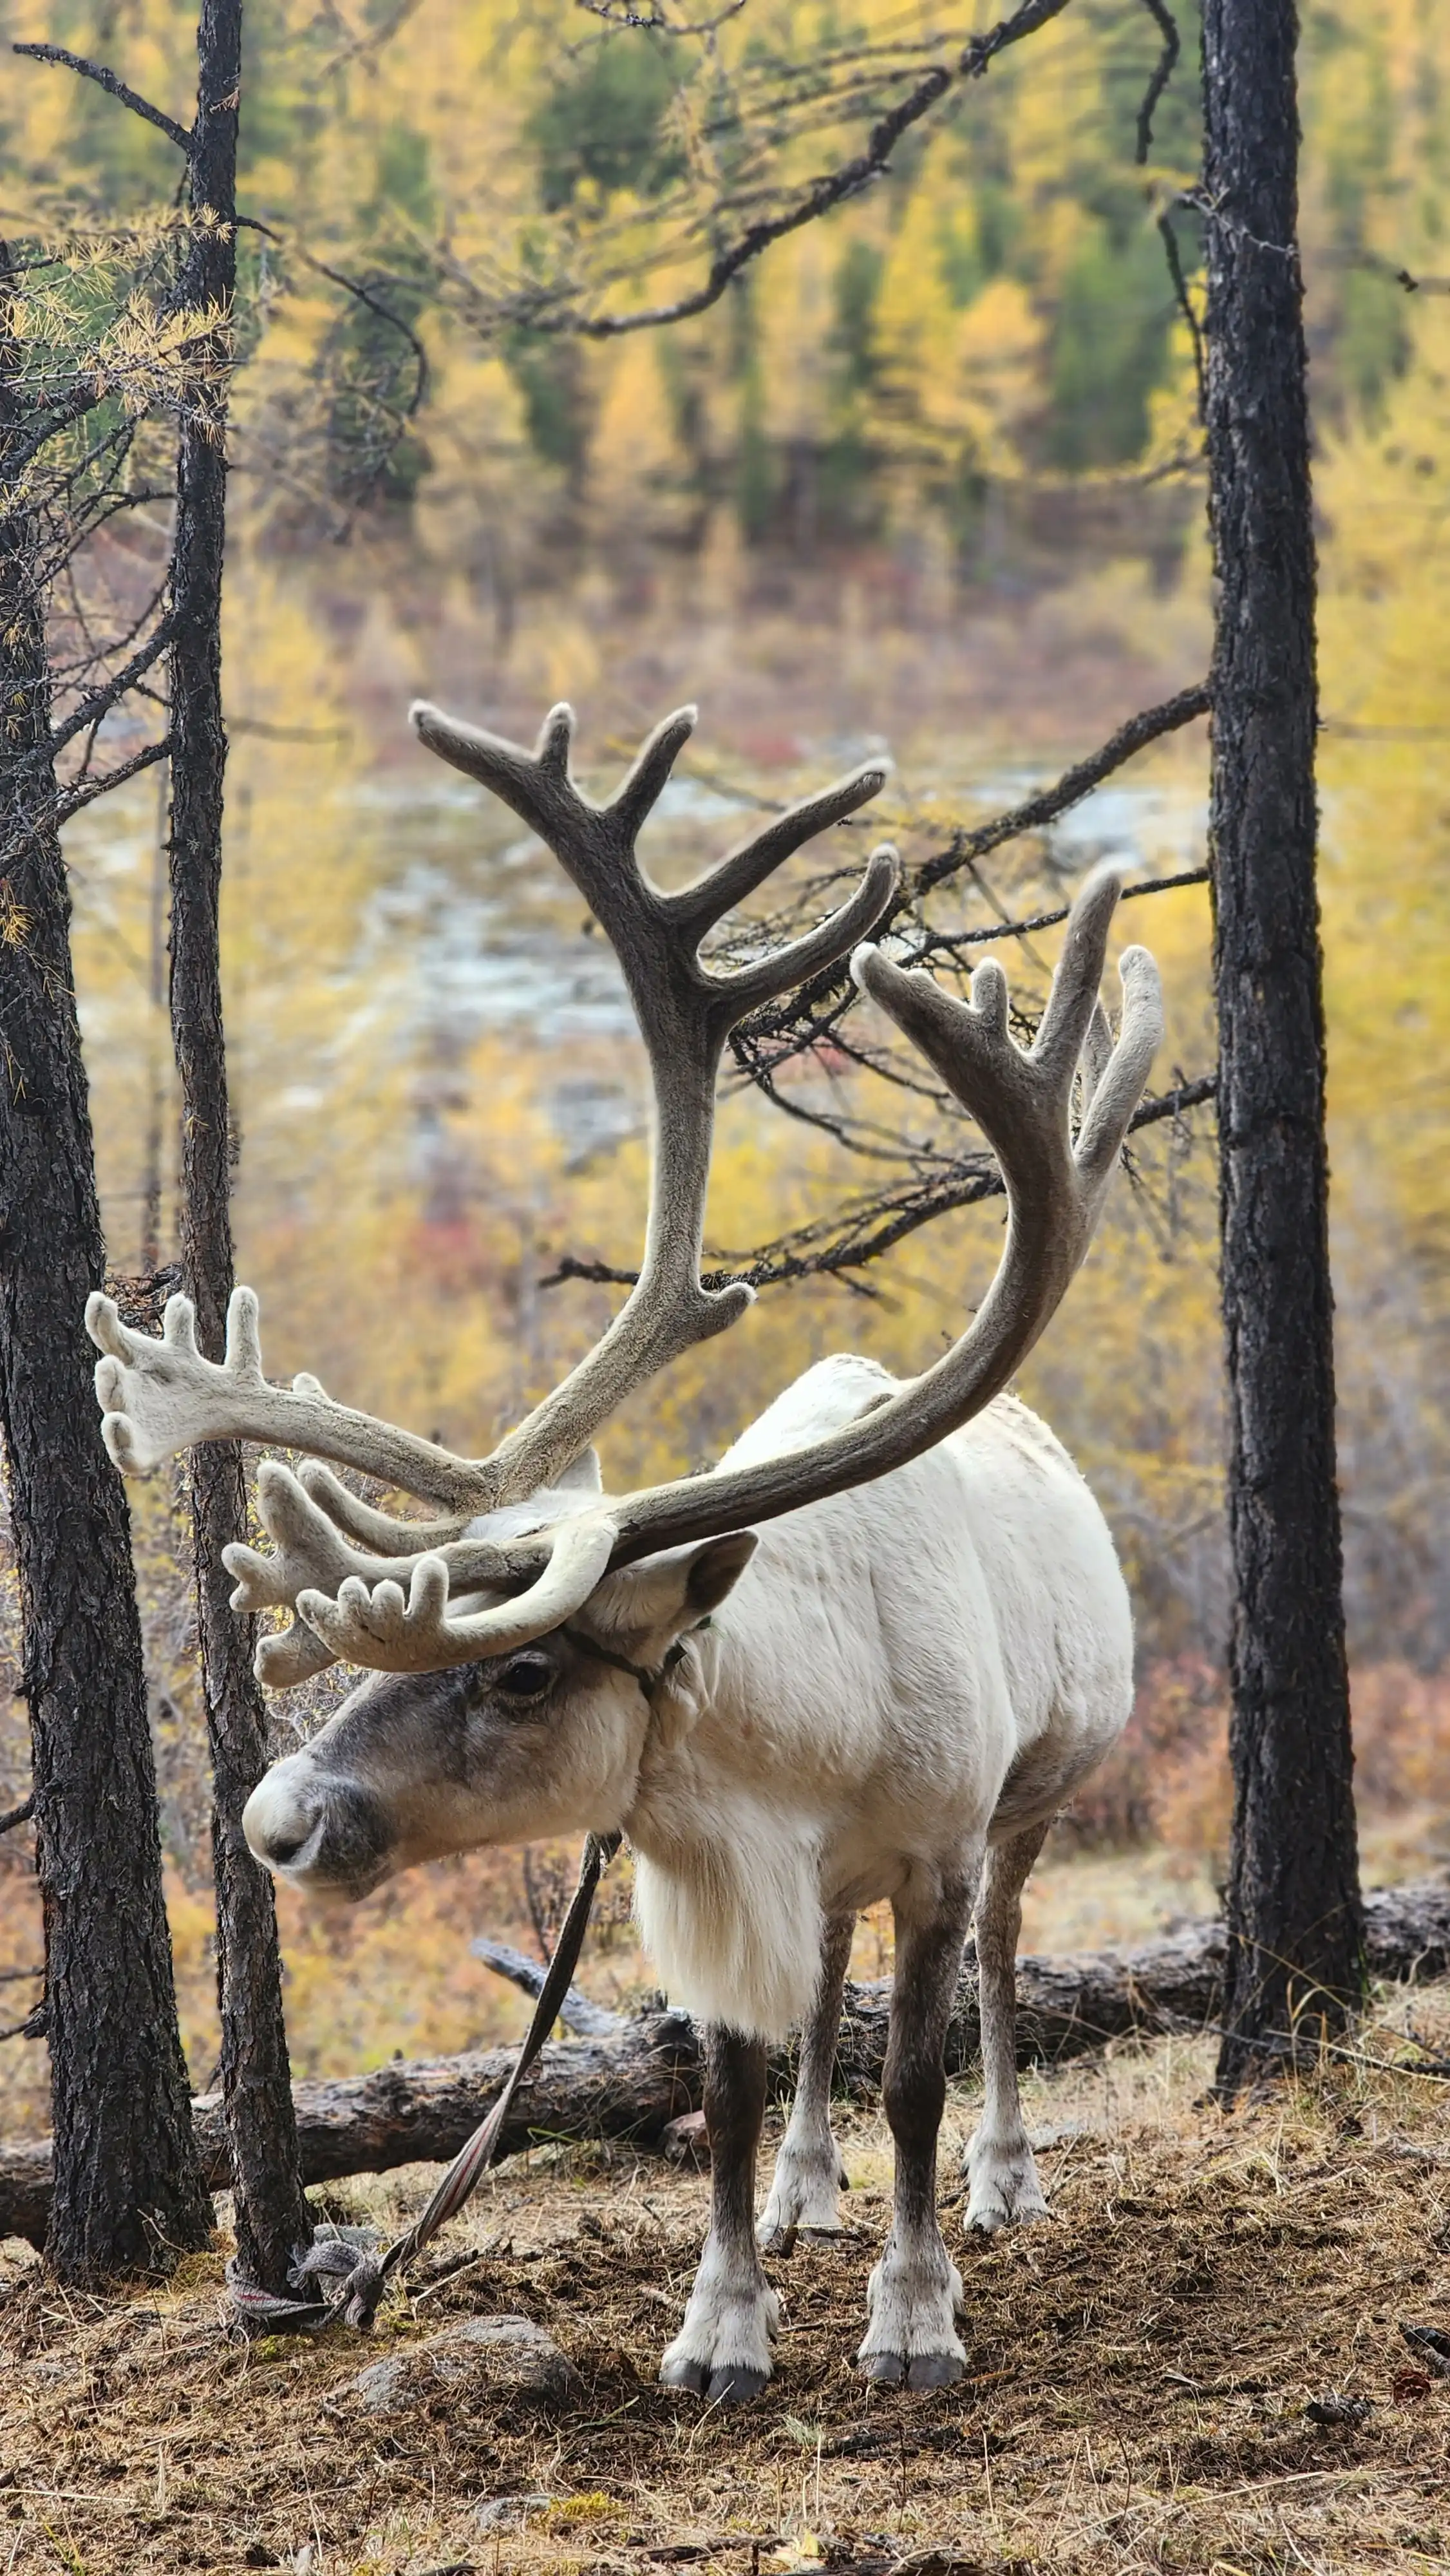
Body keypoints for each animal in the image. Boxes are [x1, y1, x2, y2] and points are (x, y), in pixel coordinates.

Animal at [86, 697, 1161, 2402]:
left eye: (525, 1668)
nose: (273, 1818)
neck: (799, 1744)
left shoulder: (930, 1844)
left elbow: (915, 2080)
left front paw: (913, 2315)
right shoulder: (706, 1853)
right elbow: (727, 2087)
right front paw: (723, 2319)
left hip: (1038, 1793)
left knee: (999, 1960)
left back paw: (1002, 2176)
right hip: (849, 1883)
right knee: (820, 1991)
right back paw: (804, 2188)